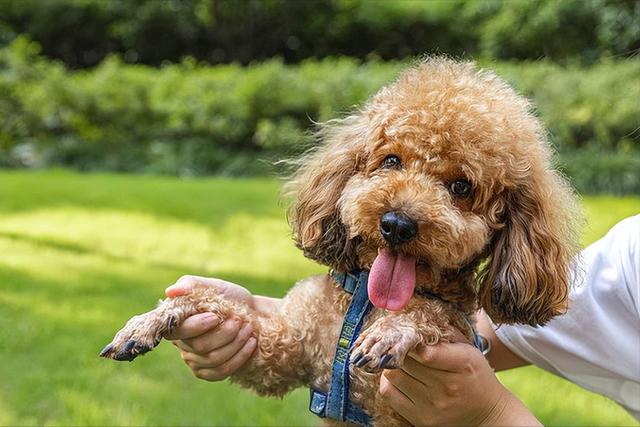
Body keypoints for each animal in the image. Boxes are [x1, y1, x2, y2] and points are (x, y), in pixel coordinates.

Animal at [100, 57, 580, 427]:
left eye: (461, 187)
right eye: (391, 161)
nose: (397, 224)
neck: (364, 302)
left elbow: (429, 317)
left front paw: (394, 331)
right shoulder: (286, 348)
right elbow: (219, 305)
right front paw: (150, 321)